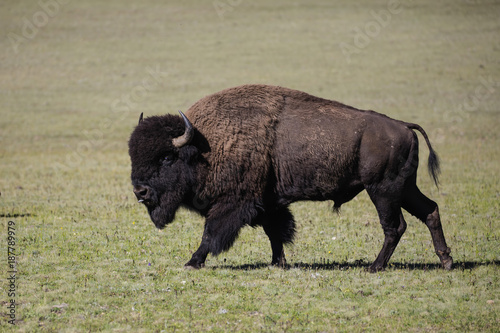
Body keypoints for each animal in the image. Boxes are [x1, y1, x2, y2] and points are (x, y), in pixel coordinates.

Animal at [126, 84, 454, 272]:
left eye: (166, 158)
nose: (140, 191)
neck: (206, 144)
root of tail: (404, 126)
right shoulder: (268, 203)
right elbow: (276, 232)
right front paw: (278, 263)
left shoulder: (234, 203)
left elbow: (212, 233)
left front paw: (193, 262)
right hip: (404, 188)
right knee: (430, 210)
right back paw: (447, 262)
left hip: (383, 190)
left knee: (394, 226)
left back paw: (374, 267)